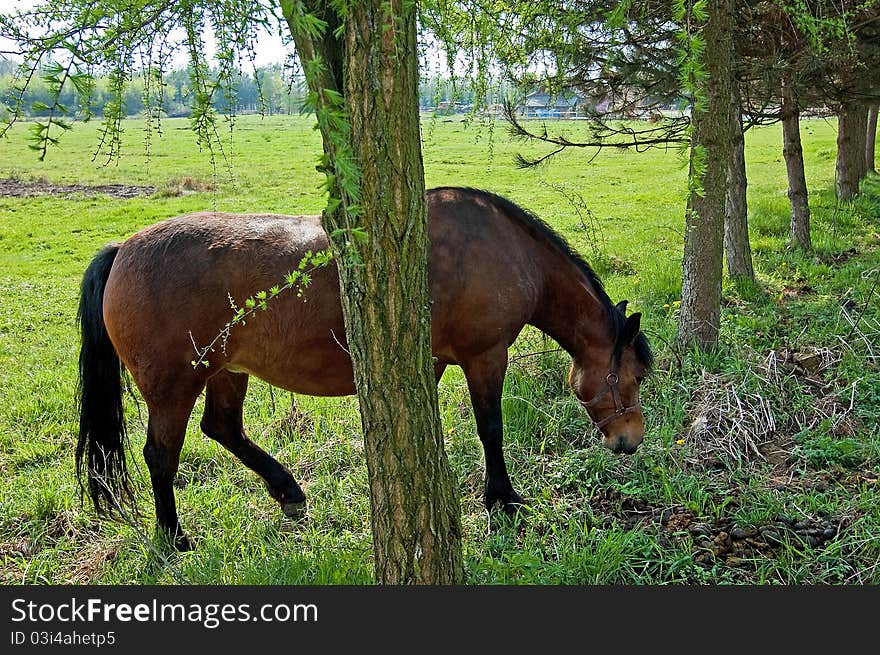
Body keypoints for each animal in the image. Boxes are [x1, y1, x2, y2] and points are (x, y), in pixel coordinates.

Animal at [77, 187, 652, 552]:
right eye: (637, 375)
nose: (629, 440)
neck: (505, 251)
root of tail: (123, 250)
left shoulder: (431, 362)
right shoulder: (485, 356)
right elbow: (491, 428)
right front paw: (503, 500)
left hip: (227, 370)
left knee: (222, 428)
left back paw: (288, 492)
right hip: (174, 387)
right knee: (161, 457)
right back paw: (174, 538)